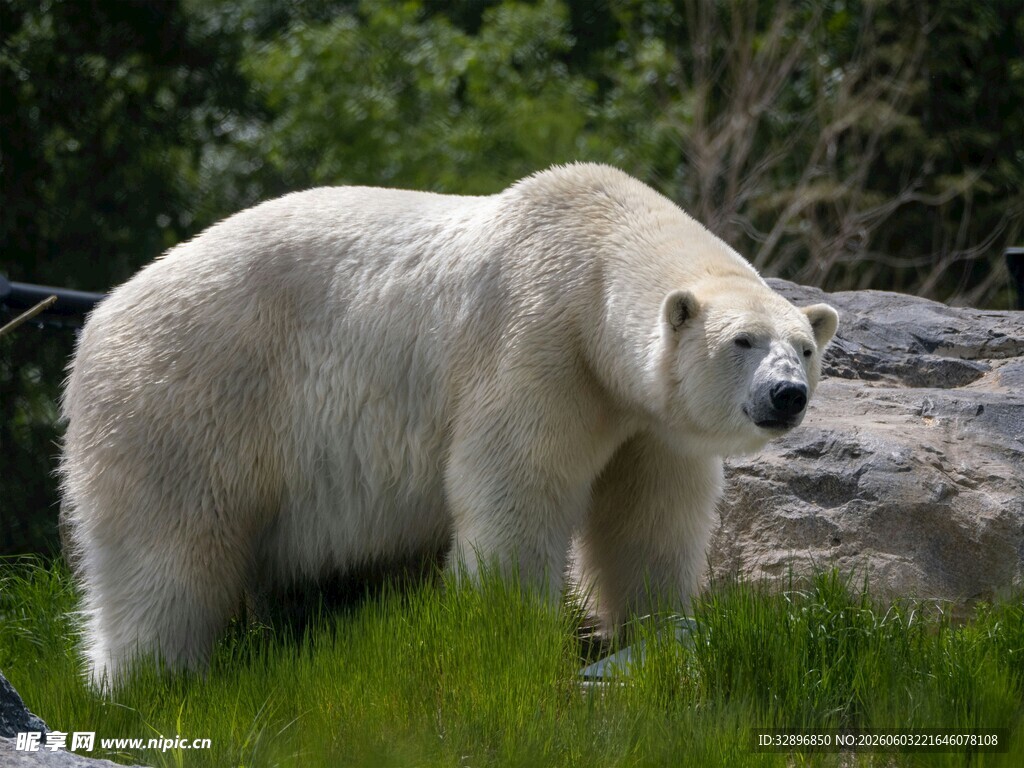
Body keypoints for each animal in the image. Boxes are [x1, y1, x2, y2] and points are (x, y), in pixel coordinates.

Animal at [59, 163, 838, 687]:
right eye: (741, 341)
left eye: (803, 345)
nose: (786, 396)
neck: (594, 251)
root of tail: (99, 321)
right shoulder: (536, 343)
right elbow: (516, 485)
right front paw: (501, 630)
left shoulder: (644, 417)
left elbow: (648, 517)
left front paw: (656, 626)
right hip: (189, 399)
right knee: (167, 551)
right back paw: (147, 679)